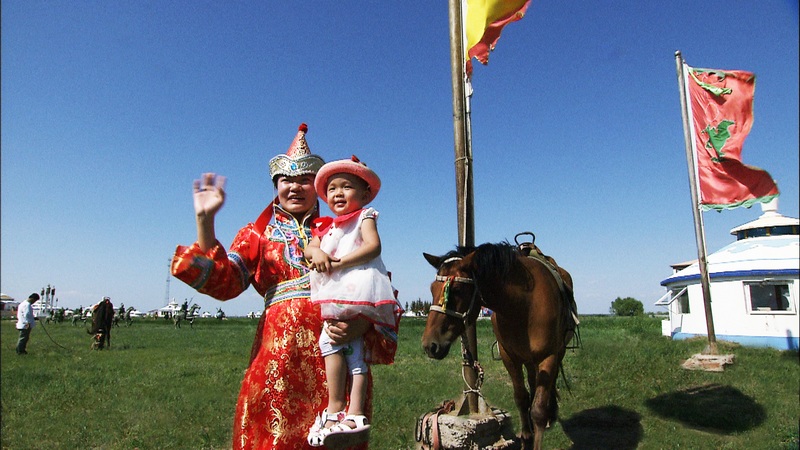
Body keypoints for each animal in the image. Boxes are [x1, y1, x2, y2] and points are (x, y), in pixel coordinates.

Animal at [422, 243, 580, 450]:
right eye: (432, 288)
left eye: (456, 289)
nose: (430, 345)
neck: (523, 306)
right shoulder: (509, 357)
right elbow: (521, 399)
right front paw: (526, 438)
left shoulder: (548, 356)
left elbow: (538, 409)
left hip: (556, 353)